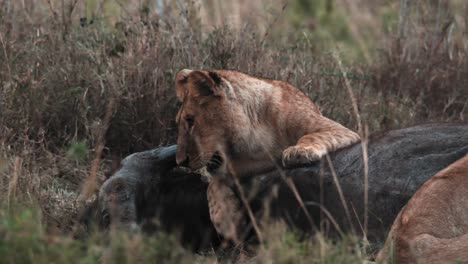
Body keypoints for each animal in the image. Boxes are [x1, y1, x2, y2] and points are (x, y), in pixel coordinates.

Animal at [174, 68, 360, 241]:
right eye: (180, 122)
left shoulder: (339, 129)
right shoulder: (250, 164)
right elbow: (213, 184)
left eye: (190, 120)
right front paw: (228, 222)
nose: (180, 162)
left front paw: (298, 152)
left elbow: (312, 135)